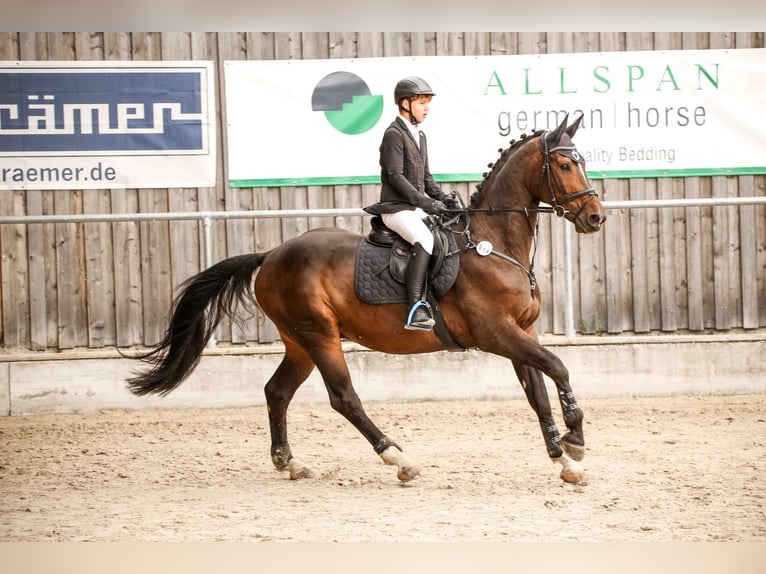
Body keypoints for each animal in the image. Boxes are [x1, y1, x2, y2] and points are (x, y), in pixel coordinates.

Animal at [126, 114, 606, 486]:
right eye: (565, 164)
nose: (595, 217)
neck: (492, 244)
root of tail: (272, 254)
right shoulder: (496, 333)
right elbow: (559, 368)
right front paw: (576, 441)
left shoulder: (521, 332)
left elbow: (538, 392)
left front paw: (564, 460)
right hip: (319, 335)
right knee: (344, 397)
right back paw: (399, 459)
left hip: (300, 340)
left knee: (277, 391)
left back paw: (290, 463)